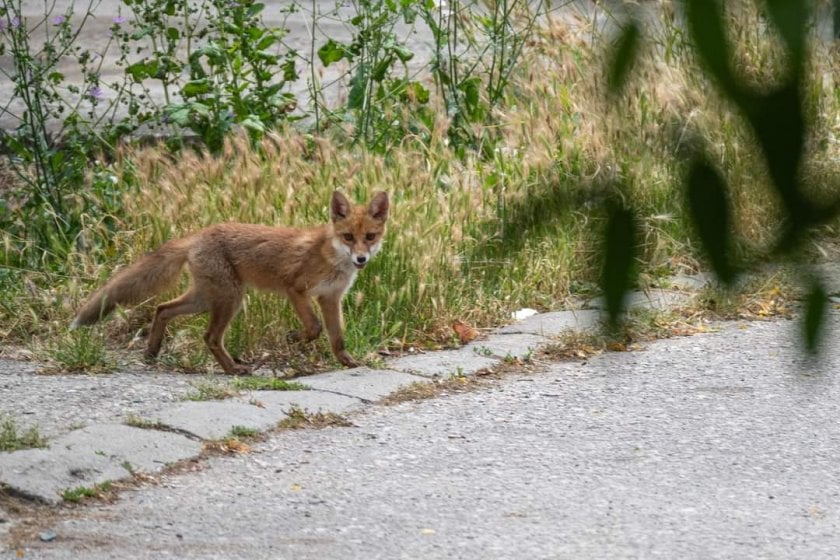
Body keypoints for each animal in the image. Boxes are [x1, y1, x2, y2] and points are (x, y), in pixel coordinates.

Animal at [71, 190, 388, 374]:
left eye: (370, 237)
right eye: (348, 237)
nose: (361, 259)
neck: (331, 256)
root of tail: (200, 234)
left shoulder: (330, 298)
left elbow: (337, 337)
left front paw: (347, 362)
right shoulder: (296, 288)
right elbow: (314, 328)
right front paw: (292, 338)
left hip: (205, 298)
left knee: (162, 309)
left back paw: (152, 352)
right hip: (230, 299)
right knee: (209, 337)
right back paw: (233, 369)